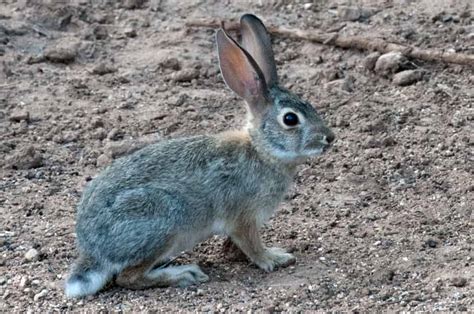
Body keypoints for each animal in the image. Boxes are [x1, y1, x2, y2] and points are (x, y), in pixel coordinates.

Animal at [65, 14, 334, 300]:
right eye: (290, 119)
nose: (330, 138)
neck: (261, 151)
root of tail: (93, 251)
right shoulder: (243, 218)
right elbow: (252, 244)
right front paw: (274, 258)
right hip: (163, 222)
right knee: (128, 277)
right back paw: (183, 274)